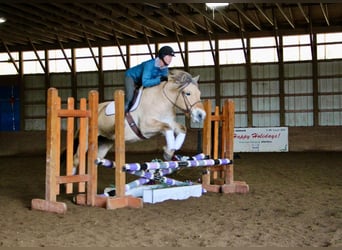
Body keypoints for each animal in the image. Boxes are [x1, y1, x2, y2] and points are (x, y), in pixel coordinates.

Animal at [72, 68, 206, 170]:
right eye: (188, 93)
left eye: (199, 94)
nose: (201, 115)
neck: (161, 100)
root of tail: (91, 110)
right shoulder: (146, 127)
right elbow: (166, 128)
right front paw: (168, 152)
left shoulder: (169, 123)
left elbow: (182, 128)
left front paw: (171, 150)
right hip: (87, 139)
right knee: (77, 160)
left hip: (105, 142)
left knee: (95, 161)